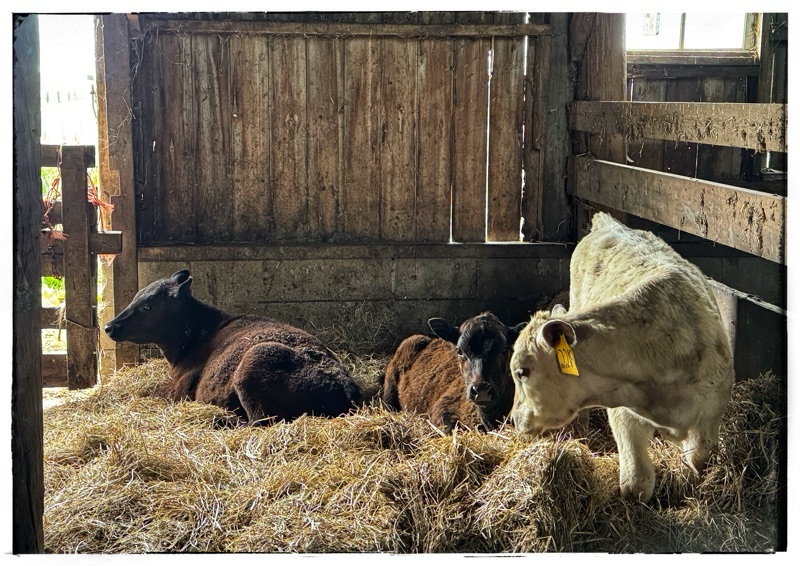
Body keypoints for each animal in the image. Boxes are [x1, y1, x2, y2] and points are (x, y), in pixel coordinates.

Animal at [509, 212, 734, 502]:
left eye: (521, 372)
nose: (514, 418)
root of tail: (608, 222)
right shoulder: (623, 414)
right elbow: (636, 483)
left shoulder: (709, 415)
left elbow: (698, 459)